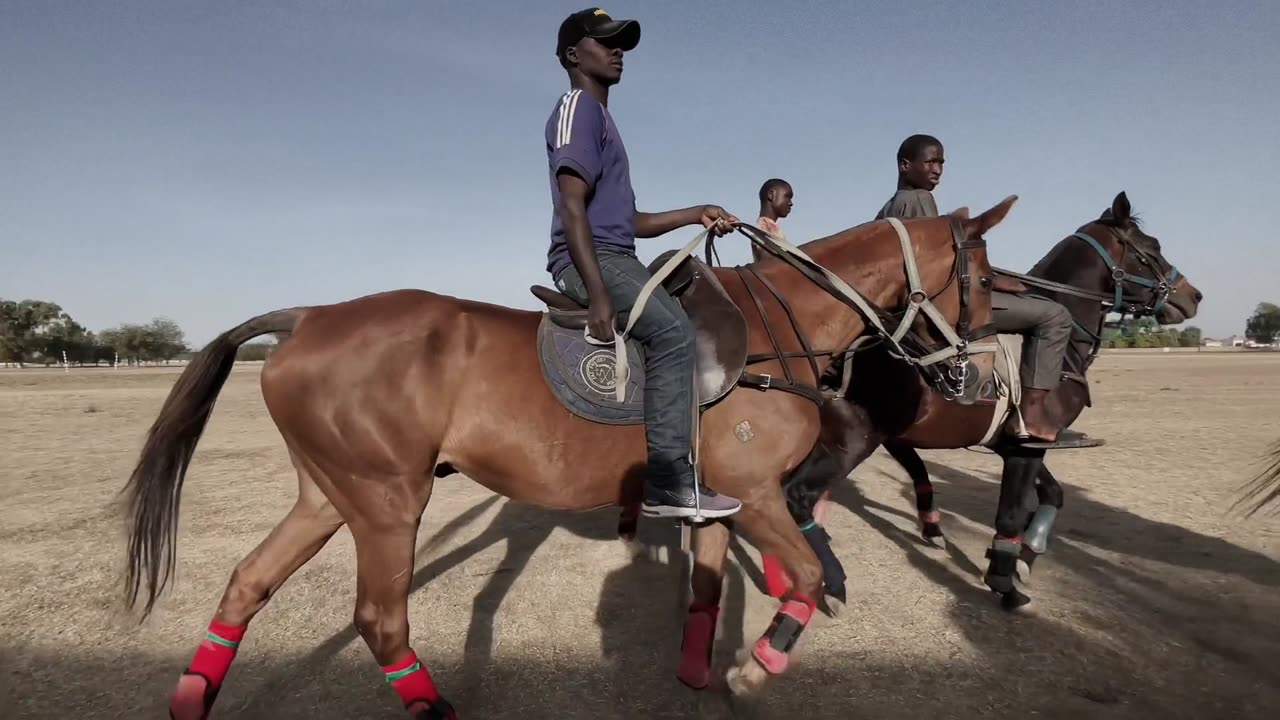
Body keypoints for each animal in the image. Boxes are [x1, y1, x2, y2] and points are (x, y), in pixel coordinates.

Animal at [120, 197, 1013, 717]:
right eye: (982, 276)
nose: (979, 377)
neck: (775, 330)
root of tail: (307, 316)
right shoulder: (758, 492)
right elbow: (803, 576)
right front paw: (757, 669)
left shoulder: (720, 499)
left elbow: (708, 587)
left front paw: (700, 673)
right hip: (387, 498)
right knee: (379, 619)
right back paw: (435, 710)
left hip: (327, 492)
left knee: (249, 580)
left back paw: (191, 699)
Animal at [747, 189, 1203, 604]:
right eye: (1151, 249)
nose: (1193, 296)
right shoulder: (1025, 447)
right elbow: (1011, 511)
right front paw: (1004, 578)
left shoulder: (1020, 442)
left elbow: (1051, 495)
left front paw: (1025, 555)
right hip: (852, 438)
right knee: (795, 496)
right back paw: (827, 579)